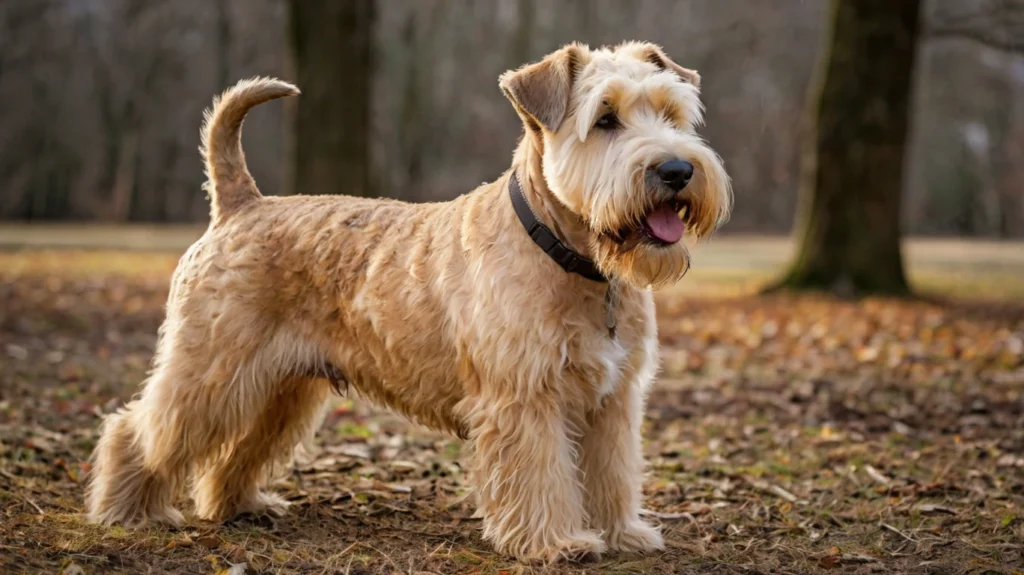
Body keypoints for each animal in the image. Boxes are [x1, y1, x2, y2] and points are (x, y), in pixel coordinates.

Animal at [86, 41, 729, 560]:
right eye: (606, 119)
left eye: (672, 114)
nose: (676, 168)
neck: (573, 258)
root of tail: (241, 203)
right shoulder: (525, 399)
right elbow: (542, 477)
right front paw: (556, 543)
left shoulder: (612, 401)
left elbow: (611, 475)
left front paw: (622, 533)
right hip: (210, 372)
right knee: (137, 430)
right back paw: (127, 512)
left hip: (280, 388)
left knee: (233, 454)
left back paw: (238, 505)